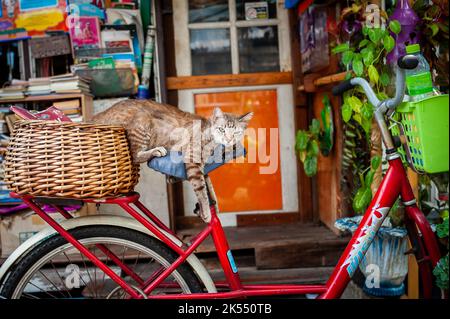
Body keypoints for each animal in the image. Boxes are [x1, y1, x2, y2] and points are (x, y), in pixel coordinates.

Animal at [92, 100, 253, 222]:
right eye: (221, 129)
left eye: (236, 132)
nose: (229, 139)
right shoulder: (193, 159)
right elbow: (201, 187)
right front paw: (207, 211)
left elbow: (208, 183)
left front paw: (215, 204)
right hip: (142, 124)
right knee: (135, 154)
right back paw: (156, 151)